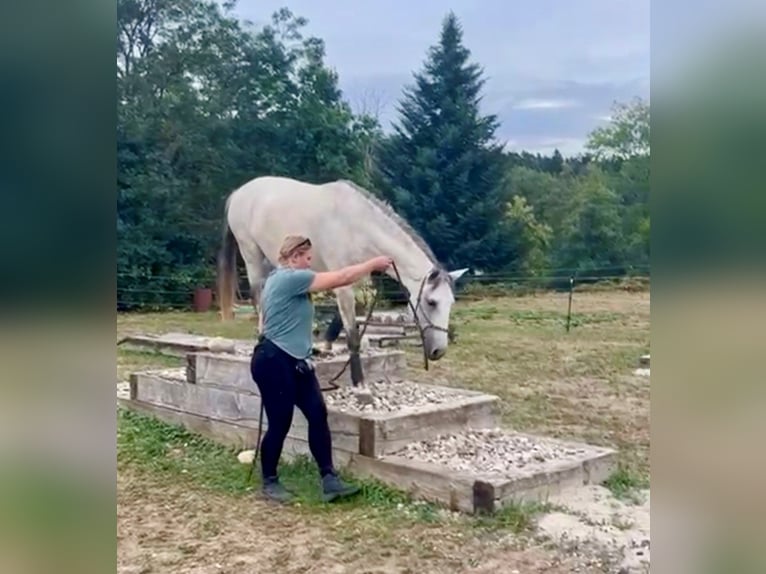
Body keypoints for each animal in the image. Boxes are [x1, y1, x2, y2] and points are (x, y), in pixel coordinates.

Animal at [217, 176, 468, 362]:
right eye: (431, 302)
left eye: (451, 303)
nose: (438, 352)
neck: (357, 225)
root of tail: (238, 193)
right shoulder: (342, 279)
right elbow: (351, 329)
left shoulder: (358, 278)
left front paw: (327, 345)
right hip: (252, 255)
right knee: (258, 294)